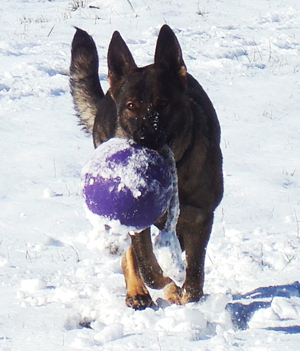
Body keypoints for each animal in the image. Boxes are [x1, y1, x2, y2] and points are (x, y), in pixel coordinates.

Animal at [69, 25, 221, 310]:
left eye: (163, 103)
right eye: (131, 106)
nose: (144, 139)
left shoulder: (201, 216)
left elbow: (195, 275)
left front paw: (186, 294)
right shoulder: (137, 221)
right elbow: (148, 267)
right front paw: (166, 284)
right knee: (131, 256)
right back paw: (137, 292)